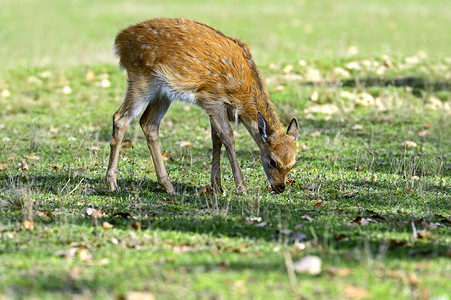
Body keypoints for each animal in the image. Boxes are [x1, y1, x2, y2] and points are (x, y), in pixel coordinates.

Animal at [107, 17, 300, 195]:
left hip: (163, 92)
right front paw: (241, 187)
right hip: (141, 78)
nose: (280, 187)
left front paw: (216, 186)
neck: (241, 95)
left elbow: (216, 139)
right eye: (272, 161)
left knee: (148, 123)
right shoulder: (211, 98)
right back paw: (112, 184)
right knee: (120, 118)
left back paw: (168, 186)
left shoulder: (215, 107)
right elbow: (228, 137)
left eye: (293, 163)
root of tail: (119, 40)